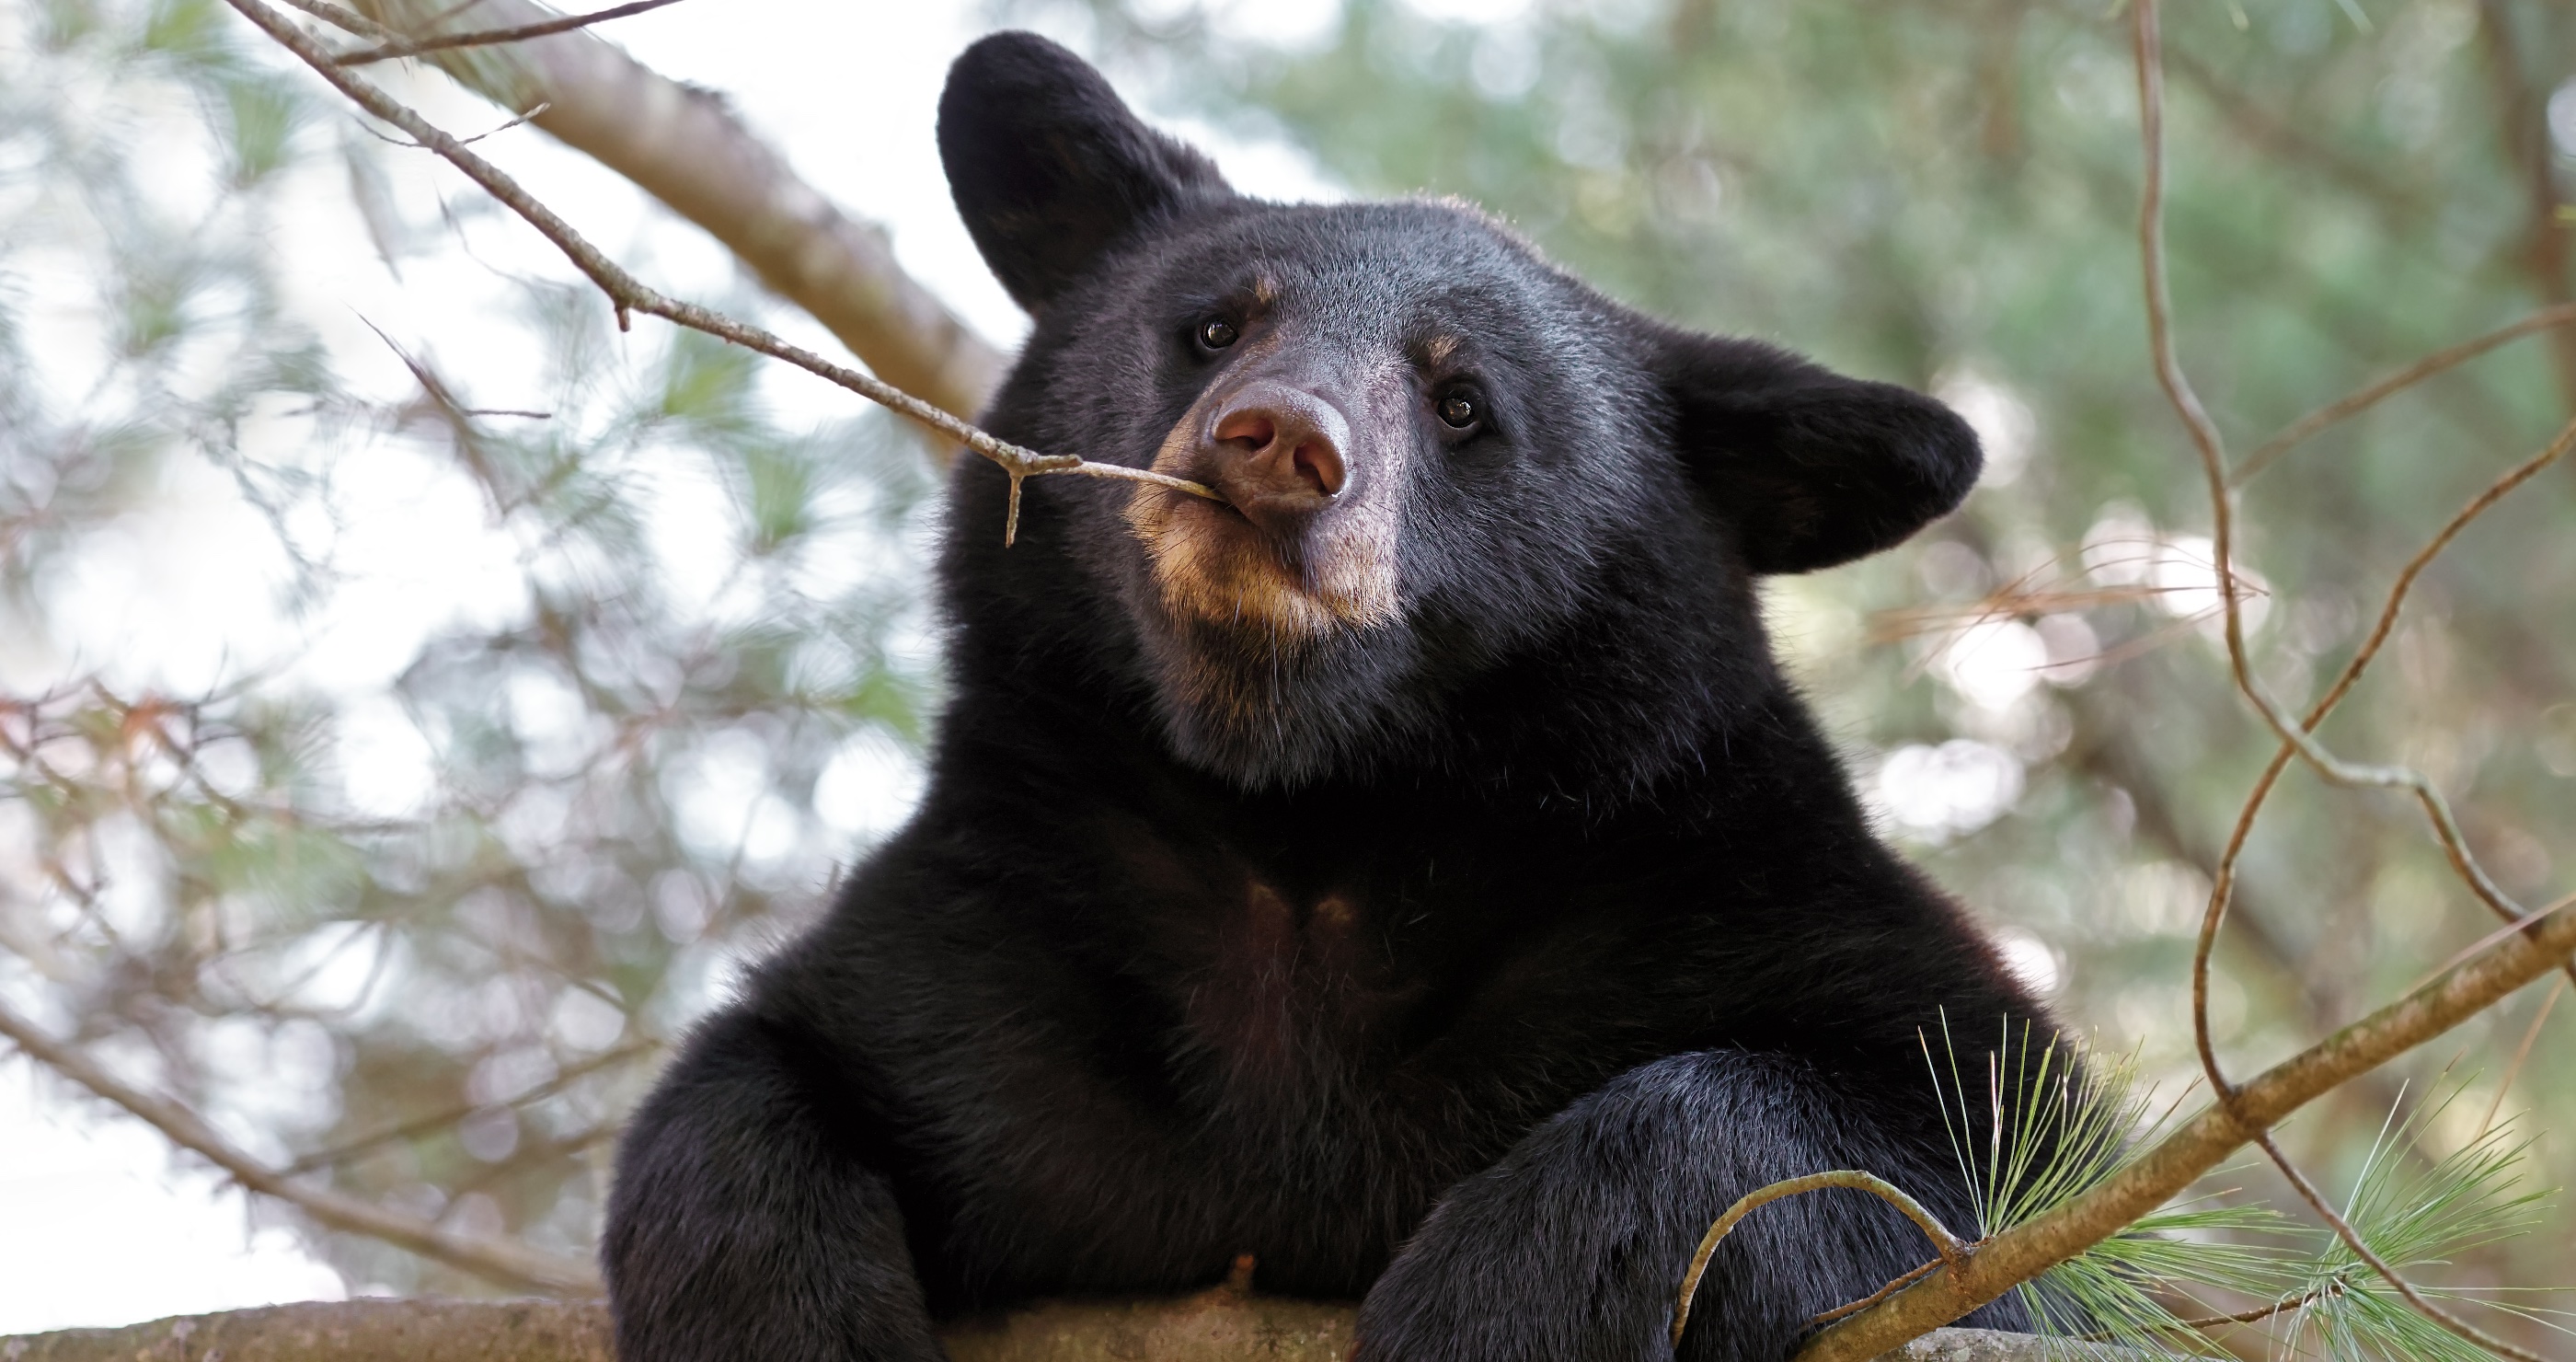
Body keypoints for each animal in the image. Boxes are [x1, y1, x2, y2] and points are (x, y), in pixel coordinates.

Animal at [601, 30, 2048, 1362]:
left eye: (1462, 400)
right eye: (1215, 324)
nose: (1279, 442)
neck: (1305, 817)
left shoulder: (1706, 882)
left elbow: (1957, 1154)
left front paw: (1497, 1302)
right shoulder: (992, 943)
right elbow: (757, 1073)